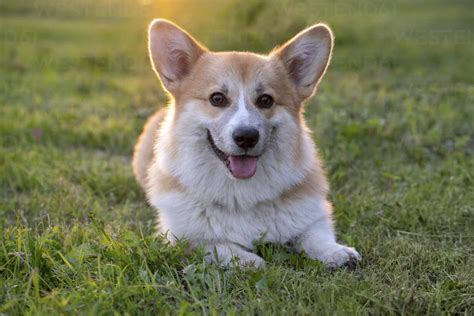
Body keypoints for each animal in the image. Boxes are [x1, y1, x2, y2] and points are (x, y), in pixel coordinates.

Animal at [131, 18, 362, 268]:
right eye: (217, 98)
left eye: (266, 100)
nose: (246, 137)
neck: (240, 193)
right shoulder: (184, 237)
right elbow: (220, 246)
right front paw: (250, 261)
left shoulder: (314, 215)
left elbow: (314, 236)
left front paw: (336, 252)